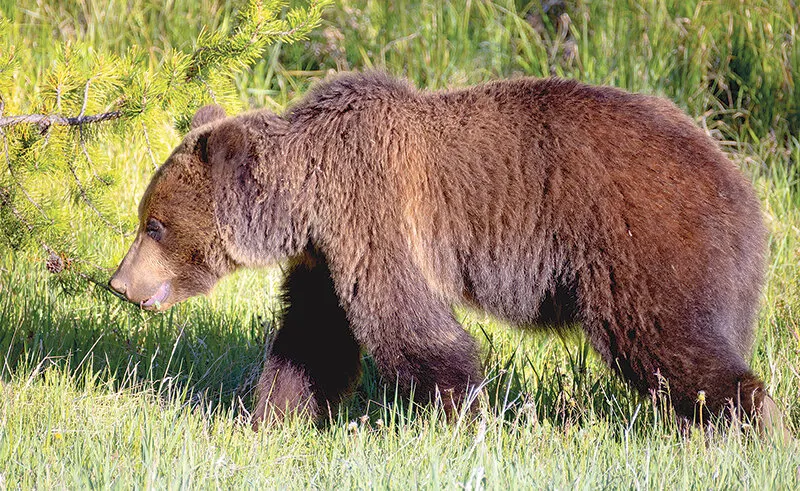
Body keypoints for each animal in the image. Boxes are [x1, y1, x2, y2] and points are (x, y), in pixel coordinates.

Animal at [109, 72, 785, 435]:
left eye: (155, 225)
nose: (119, 282)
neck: (304, 201)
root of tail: (743, 188)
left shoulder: (373, 211)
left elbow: (413, 330)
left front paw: (460, 417)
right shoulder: (327, 256)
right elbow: (312, 339)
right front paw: (272, 418)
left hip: (646, 244)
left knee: (670, 343)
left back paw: (748, 425)